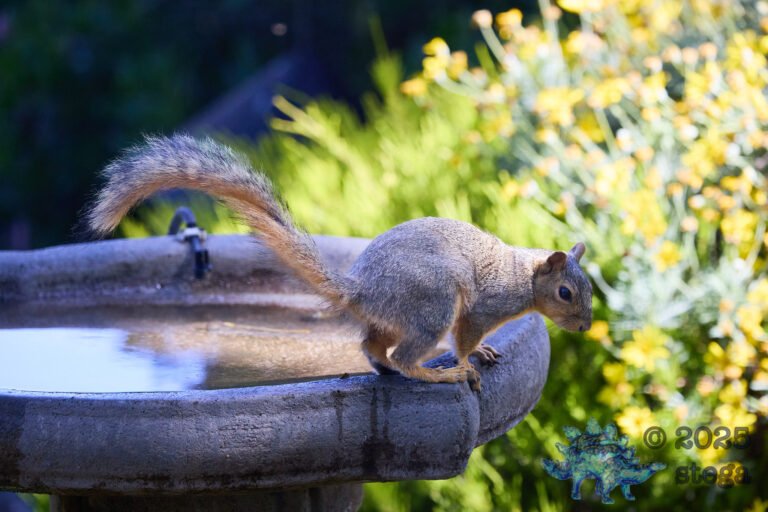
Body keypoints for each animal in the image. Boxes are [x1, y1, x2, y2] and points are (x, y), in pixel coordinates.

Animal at [87, 135, 593, 391]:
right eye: (565, 293)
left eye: (587, 290)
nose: (585, 327)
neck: (523, 276)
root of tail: (361, 289)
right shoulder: (482, 307)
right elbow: (465, 337)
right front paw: (471, 358)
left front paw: (485, 351)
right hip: (432, 304)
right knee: (406, 354)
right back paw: (438, 373)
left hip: (395, 316)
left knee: (373, 347)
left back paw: (387, 367)